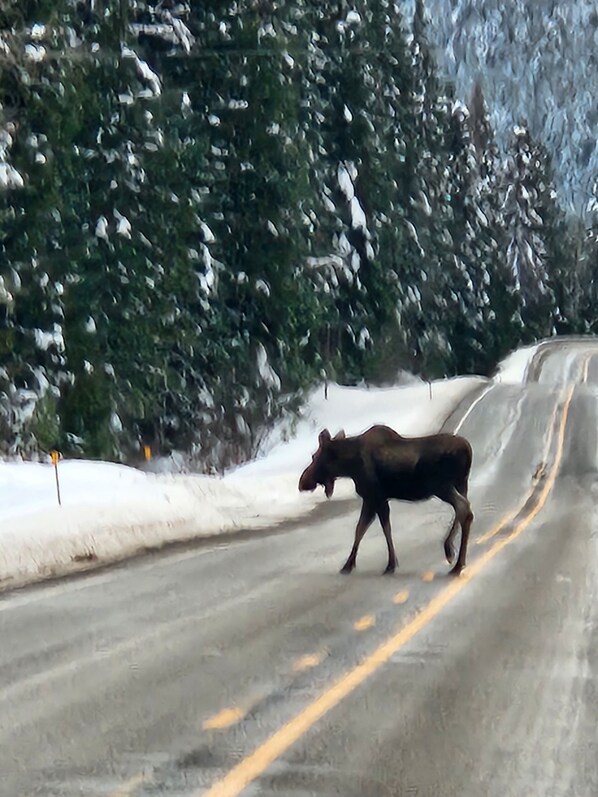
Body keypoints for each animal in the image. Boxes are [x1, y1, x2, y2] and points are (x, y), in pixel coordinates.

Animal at [298, 424, 473, 576]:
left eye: (314, 456)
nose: (302, 482)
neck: (350, 466)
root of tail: (467, 449)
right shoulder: (373, 499)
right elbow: (361, 529)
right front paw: (351, 564)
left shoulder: (374, 497)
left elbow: (379, 529)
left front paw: (388, 565)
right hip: (461, 484)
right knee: (466, 511)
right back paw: (456, 558)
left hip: (443, 487)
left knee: (463, 509)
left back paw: (454, 559)